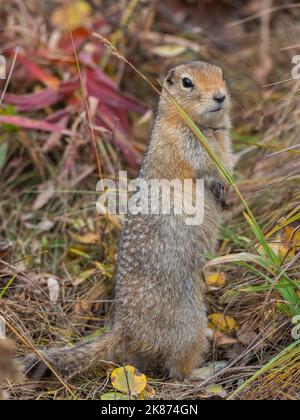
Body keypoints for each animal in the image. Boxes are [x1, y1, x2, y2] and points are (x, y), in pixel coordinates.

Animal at [22, 61, 233, 380]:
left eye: (220, 73)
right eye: (187, 82)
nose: (220, 96)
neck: (201, 125)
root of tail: (123, 328)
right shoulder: (185, 145)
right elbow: (203, 168)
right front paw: (220, 188)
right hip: (188, 322)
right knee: (177, 368)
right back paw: (207, 371)